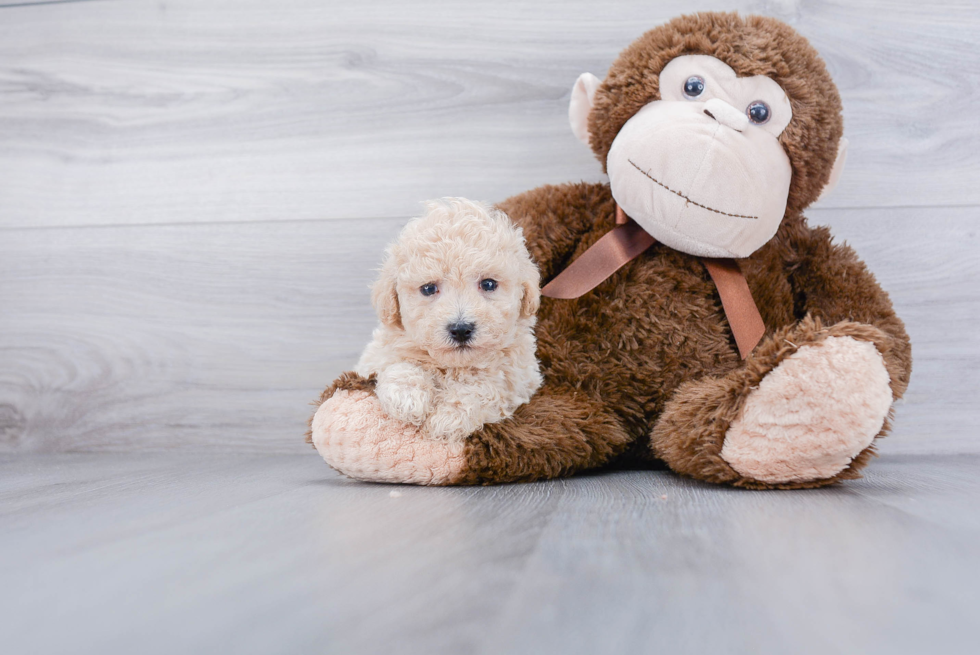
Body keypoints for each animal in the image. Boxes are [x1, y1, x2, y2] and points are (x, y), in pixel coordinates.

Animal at [356, 197, 544, 444]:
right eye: (428, 288)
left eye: (489, 284)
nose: (461, 329)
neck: (453, 366)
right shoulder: (377, 357)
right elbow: (399, 365)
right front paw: (408, 398)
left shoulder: (519, 381)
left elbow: (484, 388)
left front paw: (448, 418)